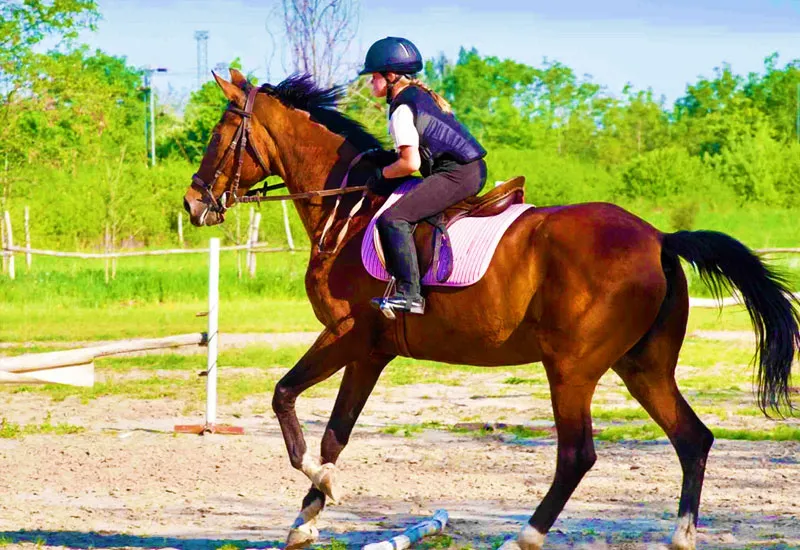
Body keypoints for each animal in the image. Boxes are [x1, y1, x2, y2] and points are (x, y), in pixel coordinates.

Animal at [184, 70, 796, 550]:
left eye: (218, 134)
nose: (193, 204)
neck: (350, 210)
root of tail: (661, 240)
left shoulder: (346, 335)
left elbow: (283, 395)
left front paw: (321, 485)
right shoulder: (371, 352)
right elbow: (336, 434)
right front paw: (306, 520)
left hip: (571, 368)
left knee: (578, 454)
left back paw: (524, 536)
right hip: (643, 366)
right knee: (693, 438)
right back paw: (680, 537)